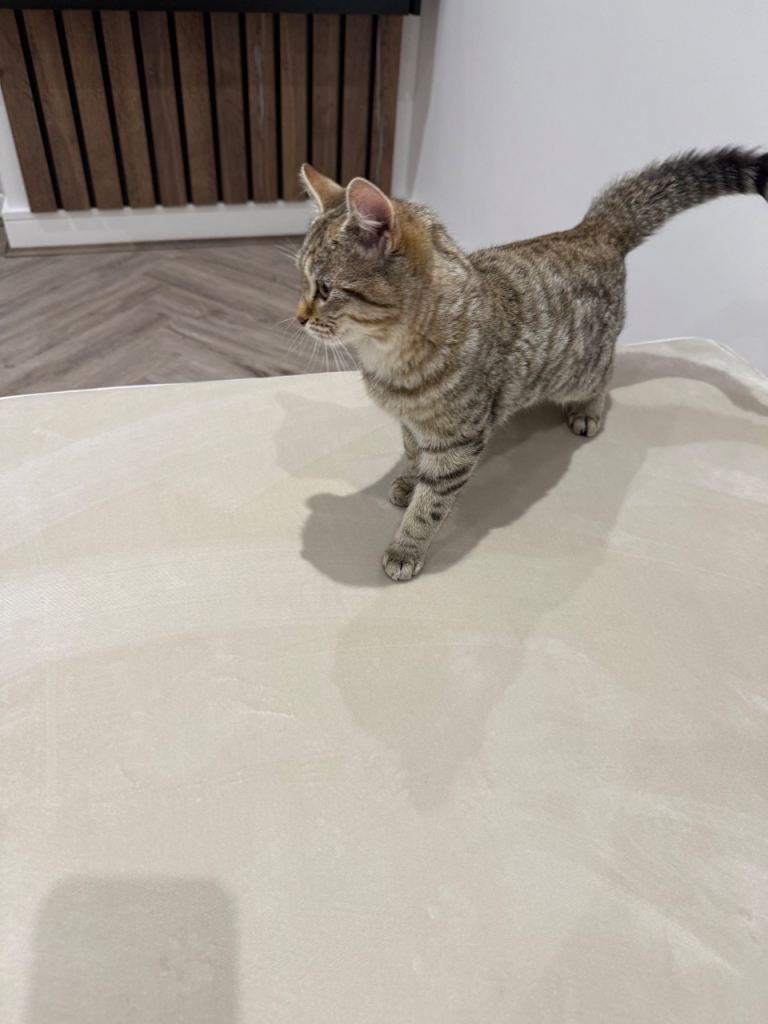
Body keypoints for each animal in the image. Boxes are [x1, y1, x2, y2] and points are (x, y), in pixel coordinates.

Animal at [295, 148, 768, 581]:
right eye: (303, 281)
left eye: (325, 288)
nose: (298, 316)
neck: (389, 358)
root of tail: (588, 231)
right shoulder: (413, 425)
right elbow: (414, 456)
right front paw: (410, 482)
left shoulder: (459, 442)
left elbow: (432, 504)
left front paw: (406, 547)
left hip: (581, 370)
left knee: (607, 375)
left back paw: (589, 411)